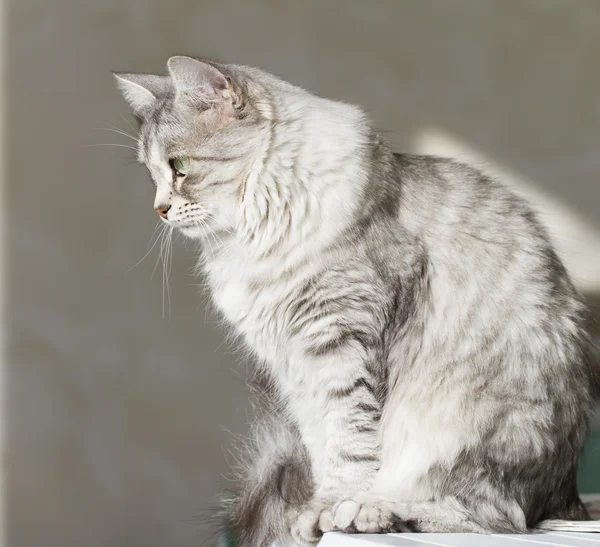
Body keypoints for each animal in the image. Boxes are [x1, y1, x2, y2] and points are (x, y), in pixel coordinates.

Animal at [115, 57, 592, 544]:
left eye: (180, 166)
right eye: (152, 174)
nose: (159, 209)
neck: (256, 239)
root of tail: (566, 498)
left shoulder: (342, 340)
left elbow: (351, 443)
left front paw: (336, 508)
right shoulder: (293, 366)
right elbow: (323, 448)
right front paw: (317, 511)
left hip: (464, 431)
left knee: (494, 518)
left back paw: (373, 511)